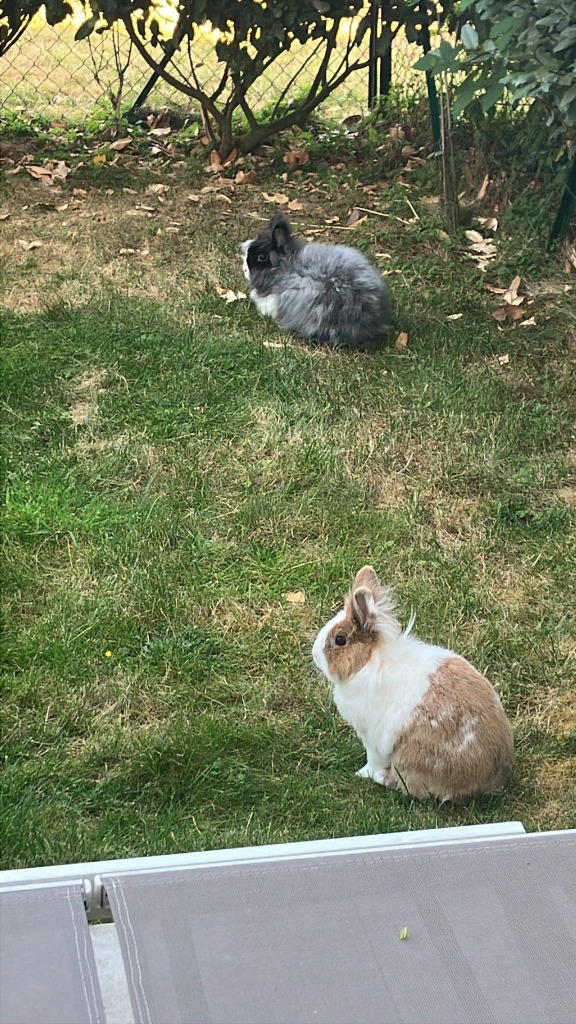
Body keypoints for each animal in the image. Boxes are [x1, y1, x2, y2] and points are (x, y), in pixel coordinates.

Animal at [312, 566, 514, 803]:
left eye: (340, 640)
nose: (314, 655)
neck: (368, 662)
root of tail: (488, 781)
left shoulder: (372, 740)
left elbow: (373, 760)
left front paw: (361, 773)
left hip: (409, 760)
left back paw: (381, 777)